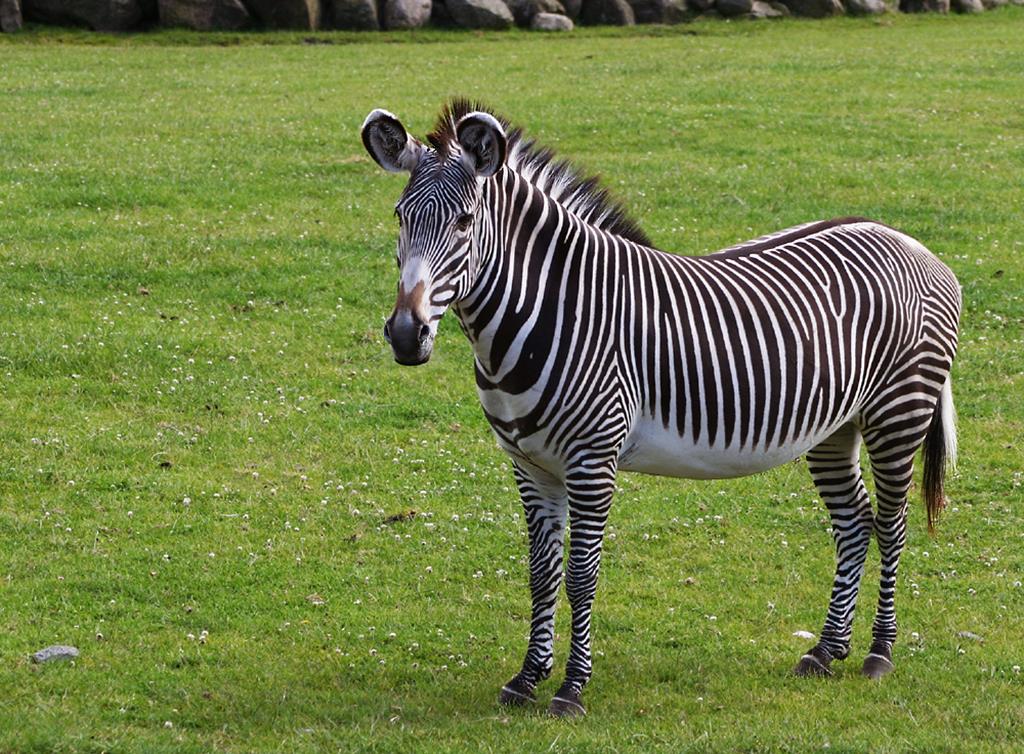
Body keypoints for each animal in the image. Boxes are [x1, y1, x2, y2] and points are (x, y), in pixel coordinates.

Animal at [358, 100, 958, 717]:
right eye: (400, 218)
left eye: (464, 222)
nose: (405, 336)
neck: (549, 309)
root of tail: (906, 240)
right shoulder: (529, 463)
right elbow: (541, 573)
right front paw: (526, 678)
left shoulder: (592, 459)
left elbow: (581, 575)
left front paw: (571, 688)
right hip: (835, 428)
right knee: (855, 522)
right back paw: (826, 650)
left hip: (899, 413)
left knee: (891, 525)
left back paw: (879, 653)